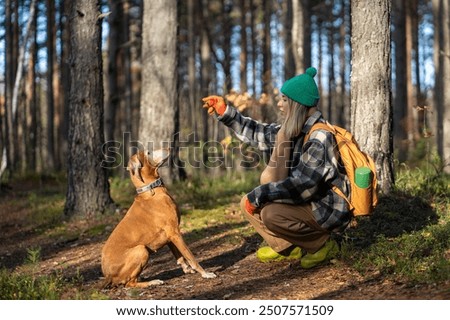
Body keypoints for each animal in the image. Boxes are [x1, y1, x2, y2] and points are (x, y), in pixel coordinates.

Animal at [101, 149, 215, 288]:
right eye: (148, 153)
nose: (169, 149)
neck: (151, 191)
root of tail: (107, 275)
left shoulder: (170, 237)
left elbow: (179, 256)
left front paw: (187, 269)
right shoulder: (175, 232)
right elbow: (190, 256)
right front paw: (205, 273)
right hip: (141, 250)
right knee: (129, 283)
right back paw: (152, 282)